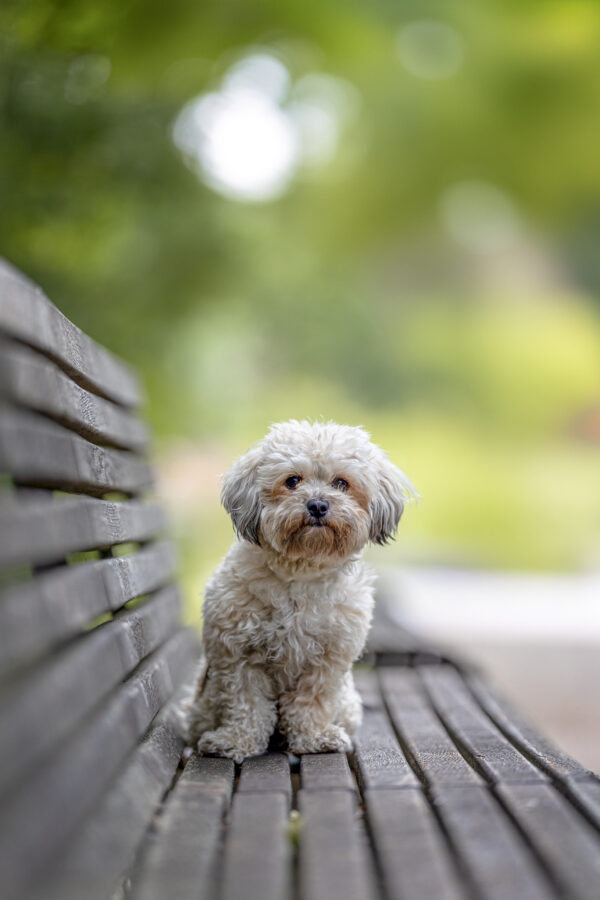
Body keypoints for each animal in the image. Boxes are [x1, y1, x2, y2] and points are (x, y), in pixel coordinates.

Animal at [185, 420, 414, 760]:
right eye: (292, 481)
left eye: (341, 483)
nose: (317, 504)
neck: (301, 572)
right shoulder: (237, 656)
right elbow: (246, 704)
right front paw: (238, 742)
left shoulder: (327, 660)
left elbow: (310, 703)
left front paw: (313, 738)